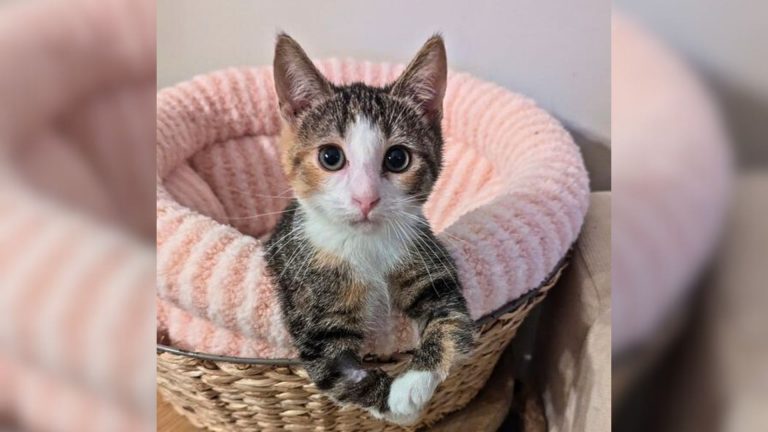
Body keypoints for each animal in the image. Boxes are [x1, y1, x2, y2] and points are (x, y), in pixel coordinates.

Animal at [268, 33, 476, 426]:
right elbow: (340, 370)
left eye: (397, 159)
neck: (366, 246)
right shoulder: (308, 311)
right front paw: (397, 405)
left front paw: (412, 383)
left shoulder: (427, 256)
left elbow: (451, 319)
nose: (366, 198)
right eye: (330, 157)